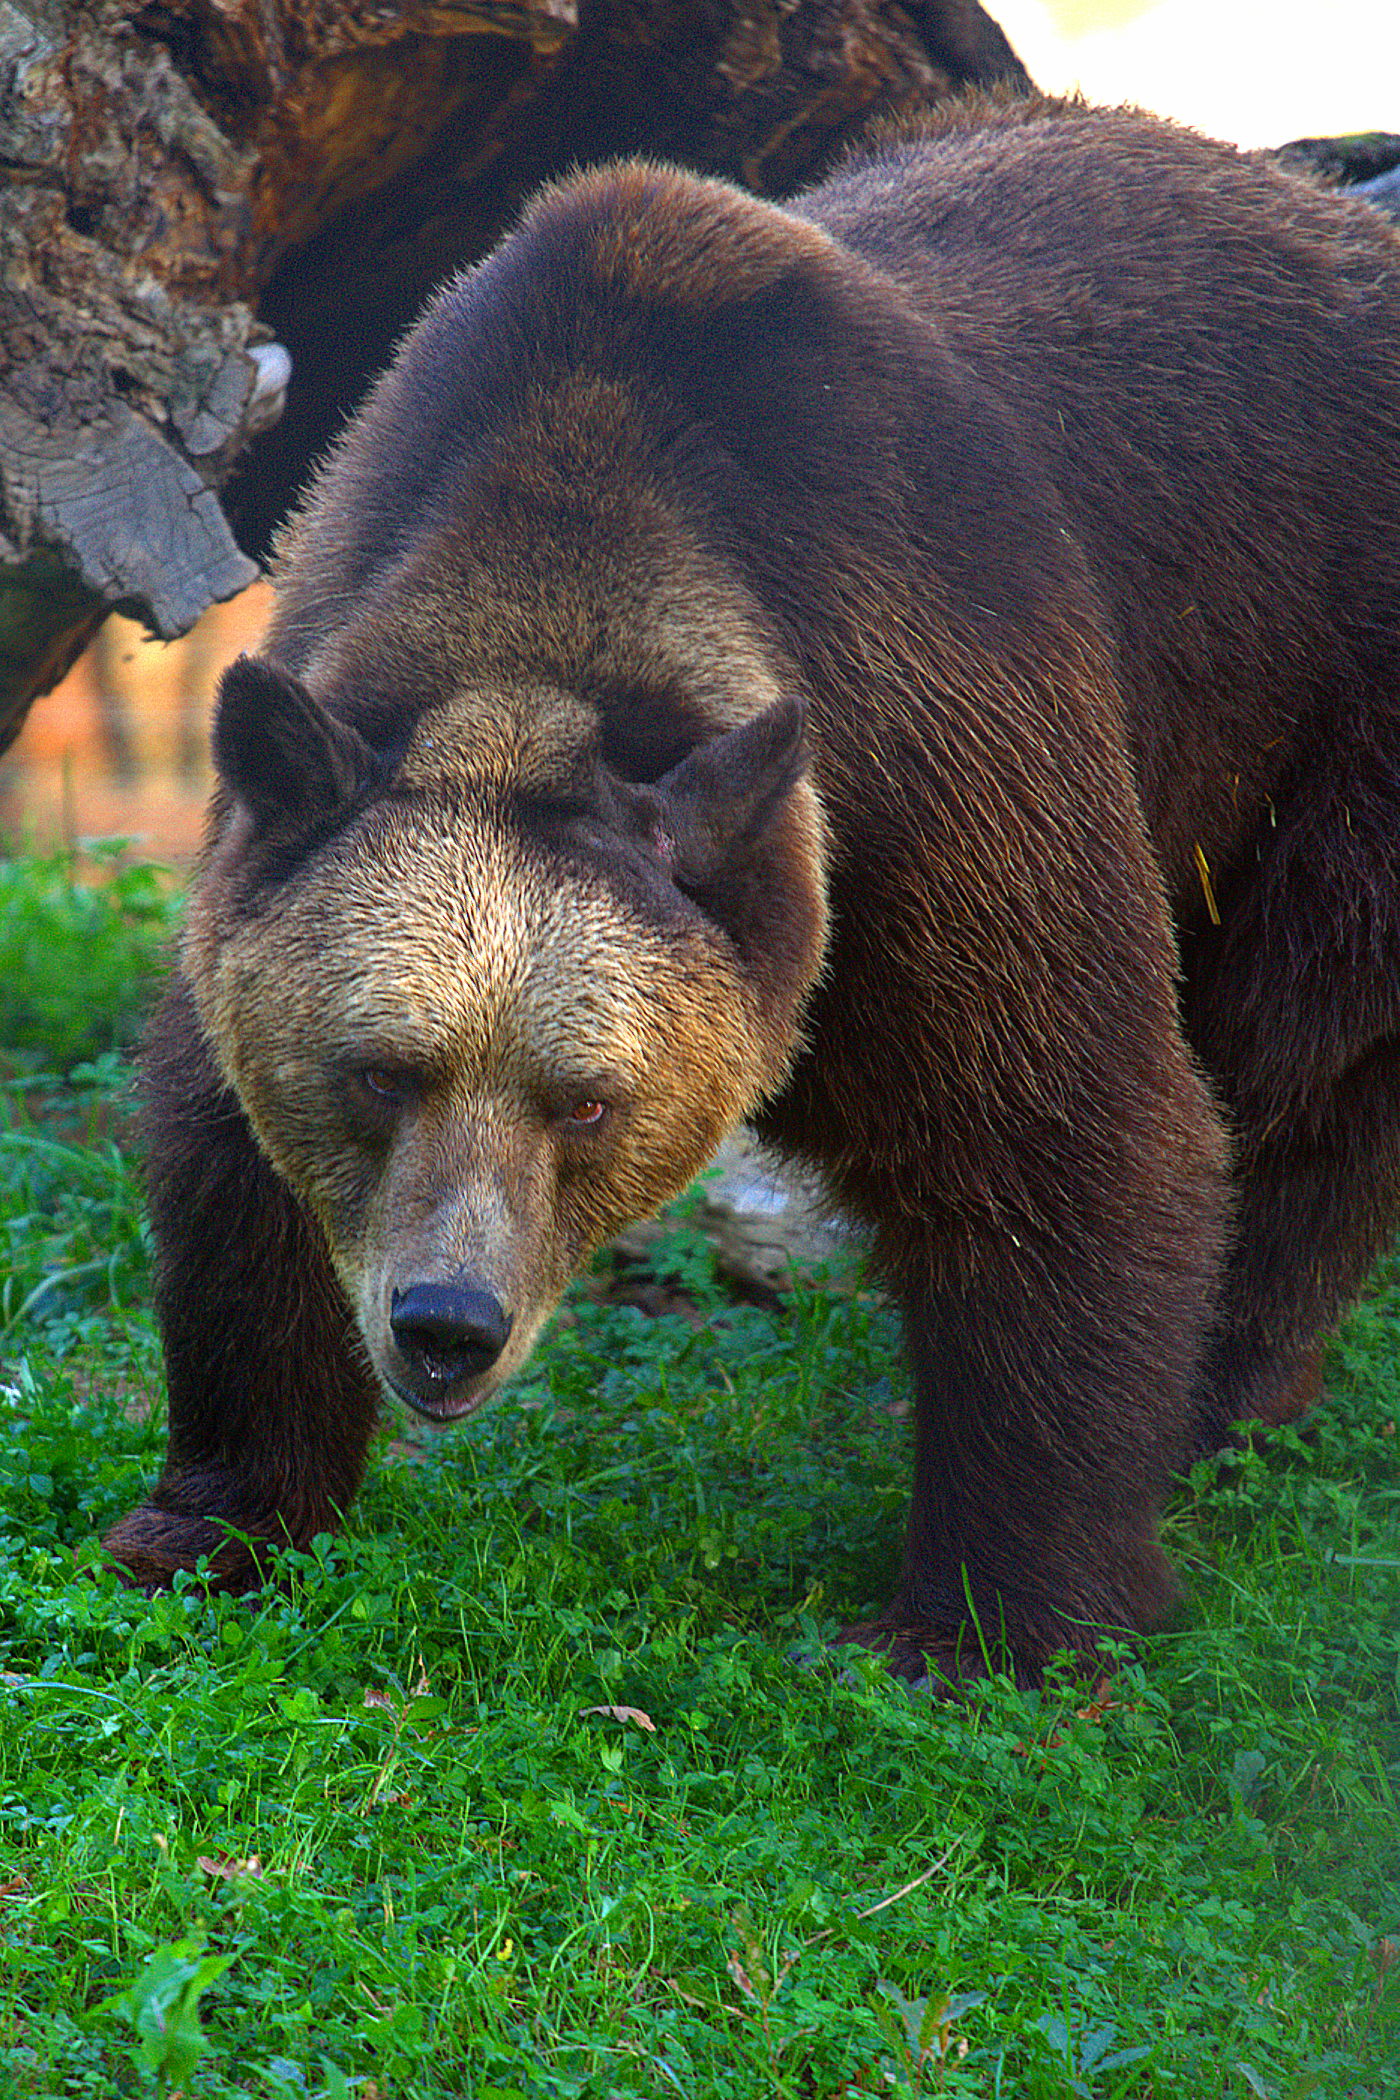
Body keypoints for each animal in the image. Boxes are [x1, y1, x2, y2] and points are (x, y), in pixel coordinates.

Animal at [103, 92, 1400, 1689]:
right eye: (381, 1071)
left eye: (586, 1101)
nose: (445, 1327)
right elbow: (229, 1154)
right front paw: (208, 1521)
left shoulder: (932, 765)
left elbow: (1069, 1135)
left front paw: (988, 1622)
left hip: (1318, 709)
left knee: (1301, 1056)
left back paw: (1228, 1397)